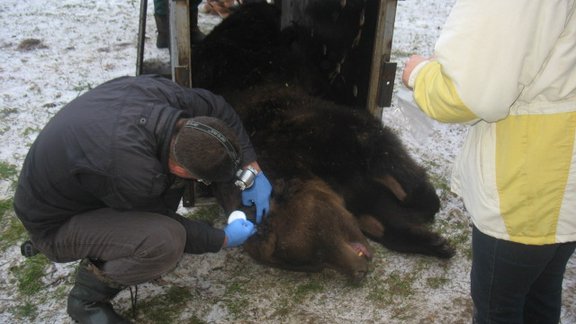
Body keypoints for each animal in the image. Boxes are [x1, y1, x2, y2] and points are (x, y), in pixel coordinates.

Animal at [194, 1, 454, 280]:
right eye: (313, 264)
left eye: (318, 248)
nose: (358, 273)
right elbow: (375, 215)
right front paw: (432, 240)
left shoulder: (316, 132)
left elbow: (381, 152)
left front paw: (425, 201)